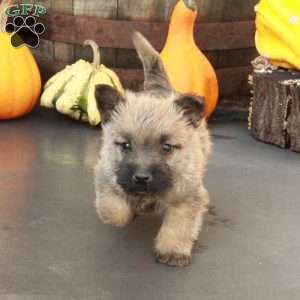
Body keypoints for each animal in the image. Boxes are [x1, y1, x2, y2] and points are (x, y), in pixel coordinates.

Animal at [95, 32, 212, 268]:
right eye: (126, 145)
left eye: (167, 147)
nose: (141, 178)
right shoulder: (106, 174)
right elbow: (114, 209)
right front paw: (128, 211)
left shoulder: (188, 197)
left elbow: (179, 225)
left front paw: (173, 251)